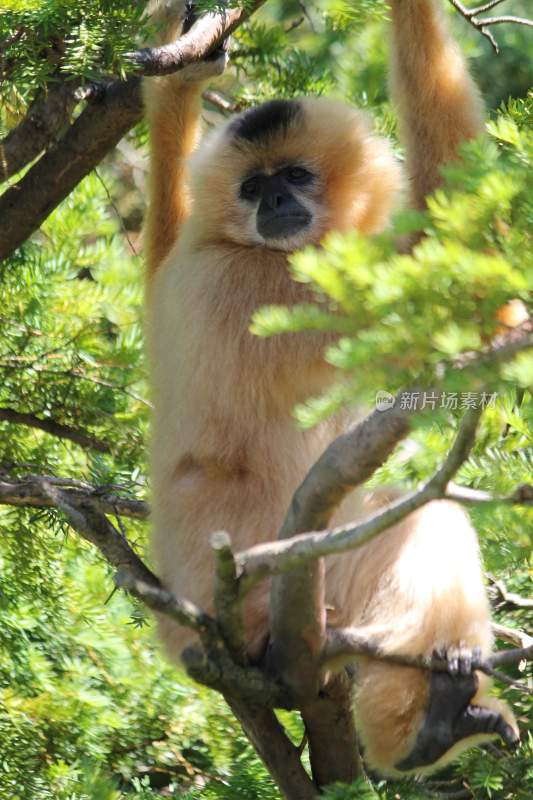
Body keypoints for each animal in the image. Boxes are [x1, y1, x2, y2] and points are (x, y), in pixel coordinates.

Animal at [143, 0, 516, 780]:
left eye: (293, 175)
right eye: (254, 188)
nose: (276, 202)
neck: (230, 243)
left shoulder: (182, 265)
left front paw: (177, 76)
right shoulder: (274, 286)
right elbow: (461, 297)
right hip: (267, 602)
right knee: (419, 519)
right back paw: (423, 729)